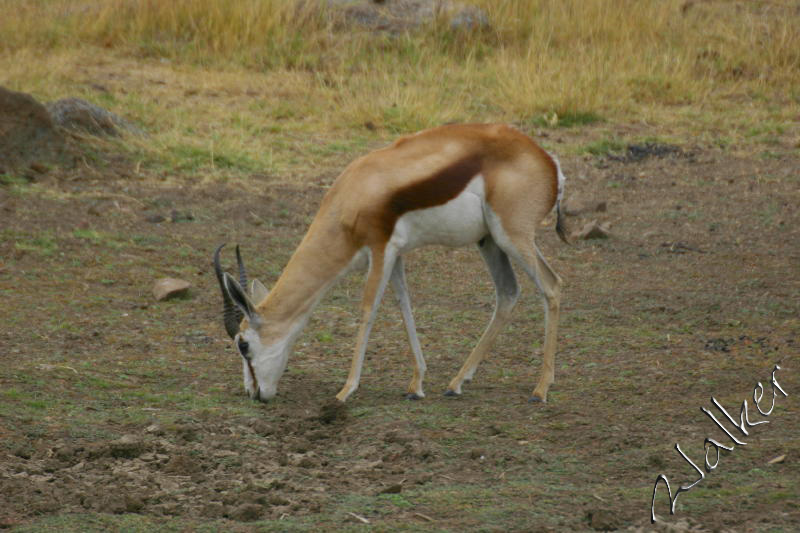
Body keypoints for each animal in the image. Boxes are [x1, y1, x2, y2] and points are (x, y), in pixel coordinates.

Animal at [214, 121, 568, 404]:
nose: (254, 393)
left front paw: (345, 391)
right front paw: (416, 385)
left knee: (552, 286)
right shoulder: (396, 254)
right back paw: (456, 383)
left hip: (512, 236)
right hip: (489, 240)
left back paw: (540, 389)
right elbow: (404, 305)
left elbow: (368, 310)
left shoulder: (380, 248)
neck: (354, 193)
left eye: (243, 345)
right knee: (508, 293)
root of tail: (548, 161)